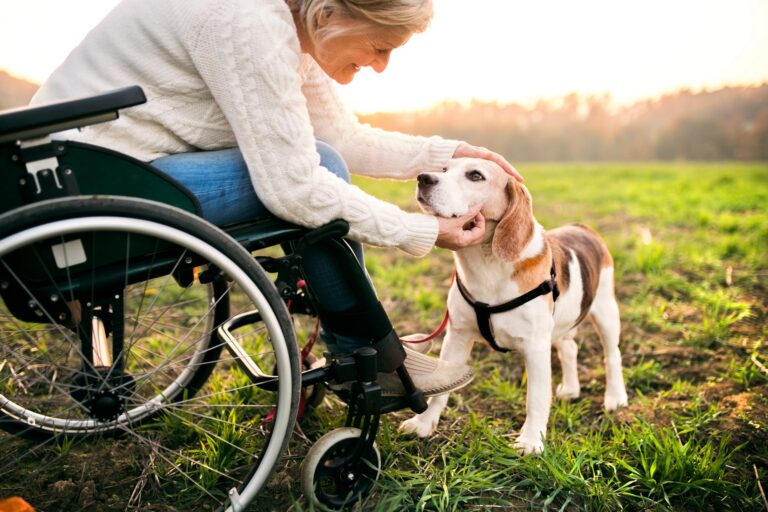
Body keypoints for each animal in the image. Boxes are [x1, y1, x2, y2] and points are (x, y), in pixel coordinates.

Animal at [400, 158, 628, 454]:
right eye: (444, 169)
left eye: (475, 176)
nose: (423, 178)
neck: (486, 263)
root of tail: (581, 227)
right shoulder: (457, 336)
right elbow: (442, 386)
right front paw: (424, 423)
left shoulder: (536, 347)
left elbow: (536, 399)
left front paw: (531, 441)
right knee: (570, 349)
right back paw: (571, 388)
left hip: (605, 312)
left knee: (612, 356)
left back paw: (615, 397)